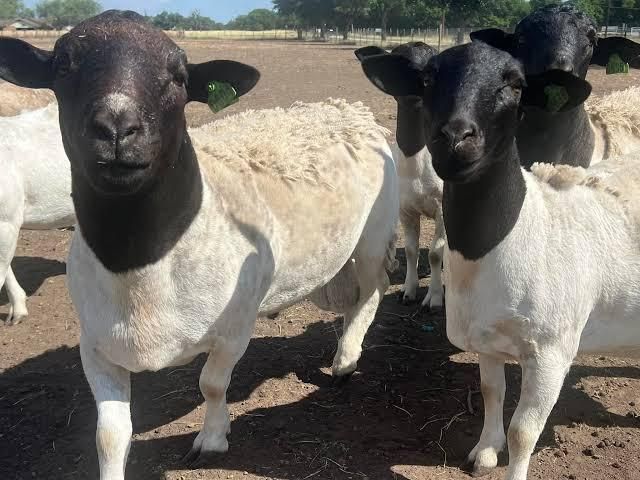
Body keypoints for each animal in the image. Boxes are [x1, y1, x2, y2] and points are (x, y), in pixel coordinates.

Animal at [355, 42, 445, 310]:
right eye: (397, 58)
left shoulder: (442, 206)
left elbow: (435, 252)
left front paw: (434, 298)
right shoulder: (405, 209)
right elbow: (413, 250)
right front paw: (409, 290)